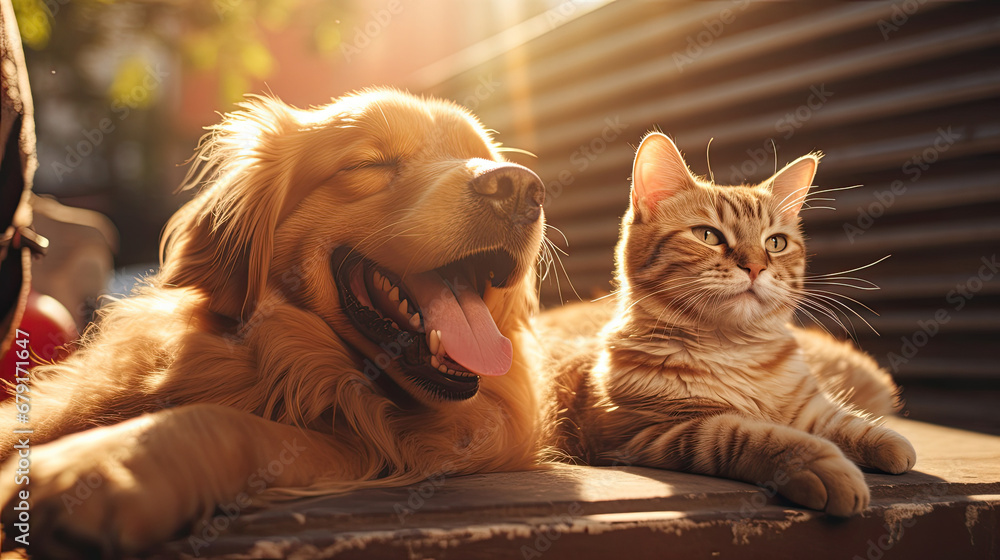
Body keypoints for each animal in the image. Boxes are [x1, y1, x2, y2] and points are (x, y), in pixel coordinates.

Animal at [0, 88, 548, 556]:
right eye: (370, 162)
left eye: (484, 154)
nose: (519, 186)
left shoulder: (364, 449)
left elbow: (228, 422)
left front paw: (96, 467)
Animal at [552, 131, 916, 516]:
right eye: (708, 236)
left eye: (775, 242)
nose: (756, 267)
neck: (734, 351)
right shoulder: (656, 431)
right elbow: (754, 436)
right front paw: (820, 464)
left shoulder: (807, 405)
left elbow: (840, 420)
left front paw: (882, 440)